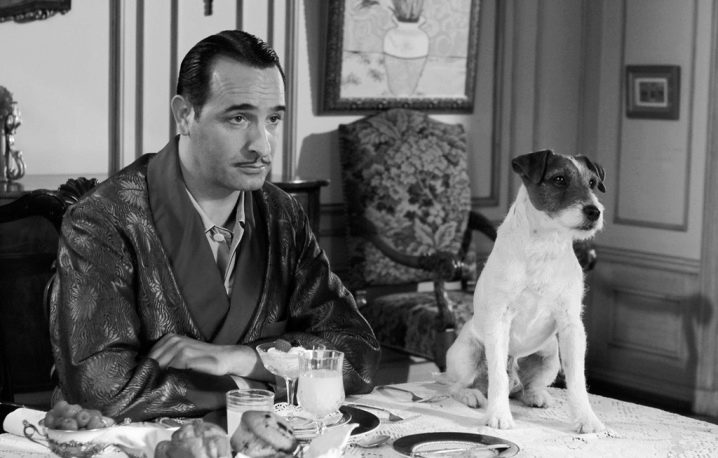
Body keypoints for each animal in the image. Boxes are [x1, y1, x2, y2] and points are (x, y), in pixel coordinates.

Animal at [445, 149, 607, 434]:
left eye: (592, 183)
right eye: (559, 179)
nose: (594, 211)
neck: (545, 246)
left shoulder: (571, 326)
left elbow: (577, 380)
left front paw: (587, 419)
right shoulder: (499, 321)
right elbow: (497, 377)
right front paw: (498, 416)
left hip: (550, 356)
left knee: (525, 387)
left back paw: (536, 395)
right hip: (468, 353)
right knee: (458, 385)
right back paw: (472, 395)